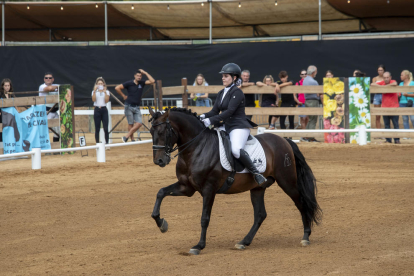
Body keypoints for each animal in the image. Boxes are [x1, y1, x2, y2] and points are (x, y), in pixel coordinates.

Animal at [147, 106, 322, 256]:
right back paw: (243, 242)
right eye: (151, 131)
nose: (159, 161)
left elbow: (204, 218)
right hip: (258, 188)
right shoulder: (186, 188)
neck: (196, 148)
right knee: (260, 215)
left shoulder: (209, 189)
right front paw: (162, 224)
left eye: (163, 131)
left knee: (301, 203)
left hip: (287, 182)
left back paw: (305, 237)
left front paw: (198, 246)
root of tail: (284, 141)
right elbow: (160, 193)